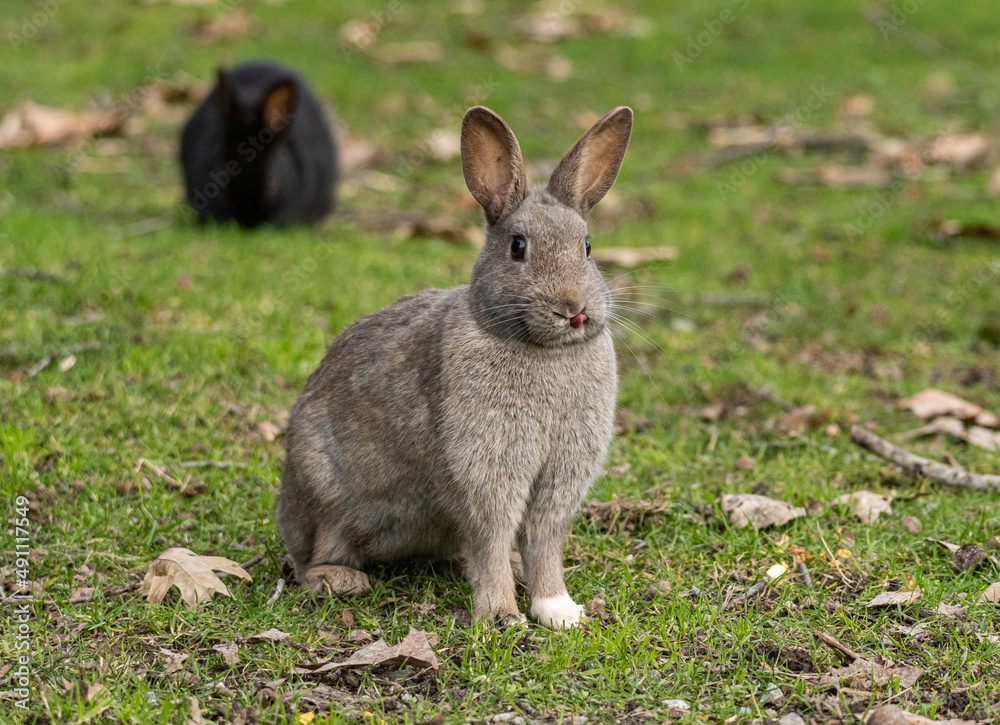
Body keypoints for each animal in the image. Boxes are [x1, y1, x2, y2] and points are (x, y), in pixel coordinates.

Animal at [275, 105, 632, 628]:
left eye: (587, 247)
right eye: (518, 247)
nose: (574, 310)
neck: (541, 348)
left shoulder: (559, 480)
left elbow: (543, 542)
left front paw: (559, 611)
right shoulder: (485, 475)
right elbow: (489, 539)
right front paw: (503, 616)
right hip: (320, 492)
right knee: (307, 559)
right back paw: (338, 580)